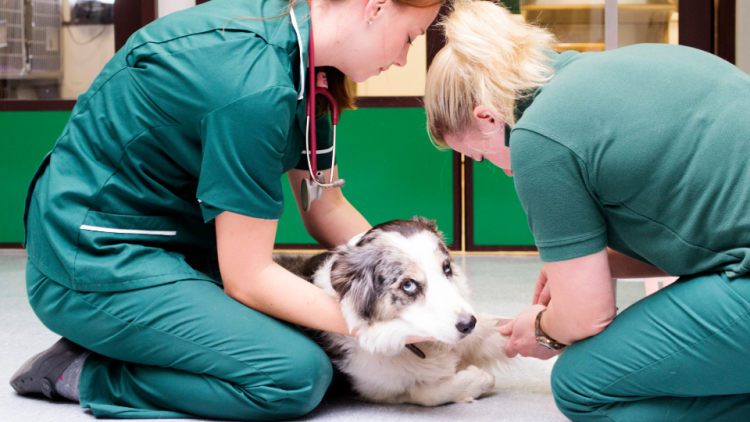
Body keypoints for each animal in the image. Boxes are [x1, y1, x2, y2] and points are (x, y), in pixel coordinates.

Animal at [276, 218, 512, 406]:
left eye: (447, 268)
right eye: (408, 285)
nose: (468, 324)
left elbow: (501, 328)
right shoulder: (376, 388)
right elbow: (425, 393)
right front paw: (479, 379)